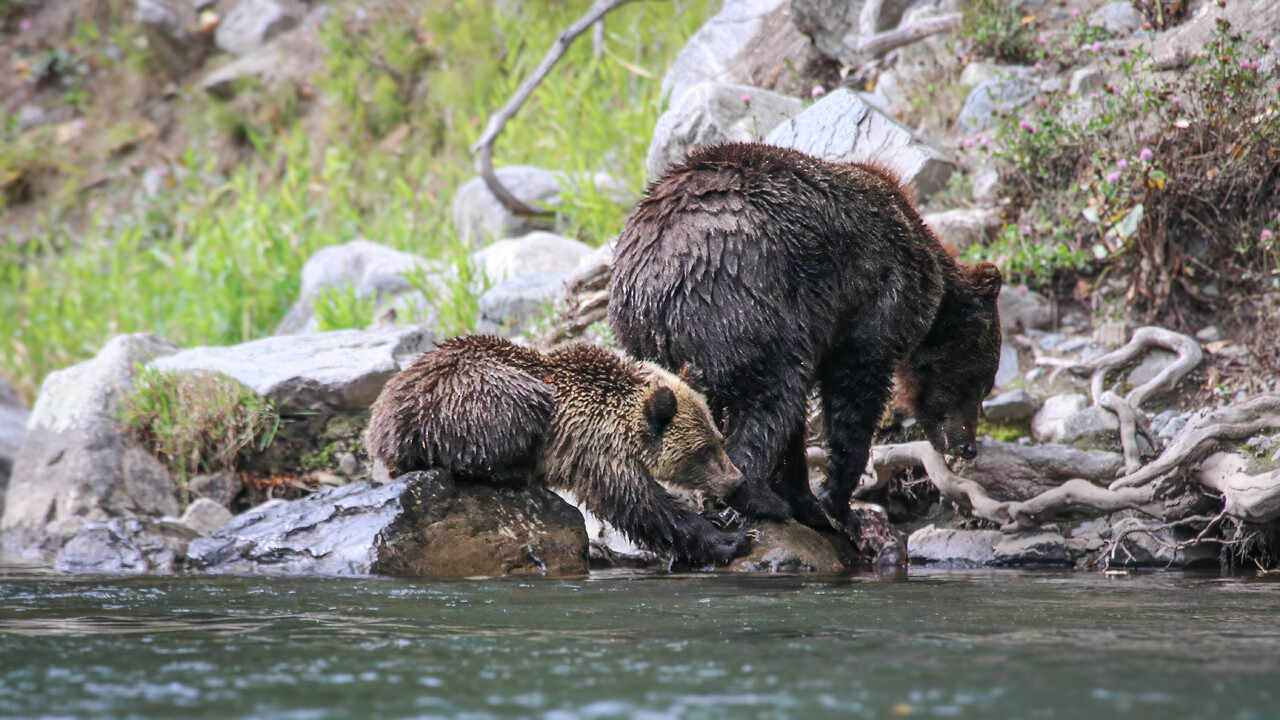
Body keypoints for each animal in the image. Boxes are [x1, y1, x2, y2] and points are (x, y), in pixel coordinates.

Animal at [363, 334, 756, 567]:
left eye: (719, 440)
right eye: (702, 452)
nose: (737, 480)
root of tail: (380, 415)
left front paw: (723, 521)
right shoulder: (596, 446)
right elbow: (639, 505)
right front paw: (731, 539)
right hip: (472, 391)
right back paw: (513, 471)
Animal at [608, 143, 1003, 535]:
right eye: (978, 383)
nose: (968, 446)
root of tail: (658, 286)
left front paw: (810, 501)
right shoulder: (868, 304)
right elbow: (853, 399)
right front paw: (839, 505)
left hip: (657, 345)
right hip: (741, 308)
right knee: (768, 405)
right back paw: (751, 498)